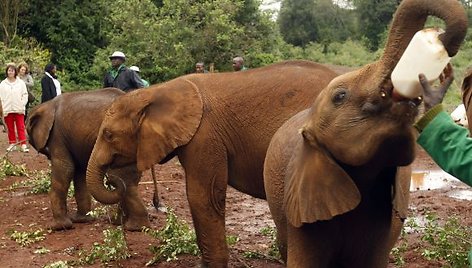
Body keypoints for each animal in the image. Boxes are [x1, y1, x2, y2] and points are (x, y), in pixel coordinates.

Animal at [25, 88, 149, 230]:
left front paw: (57, 227)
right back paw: (120, 222)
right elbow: (80, 172)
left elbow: (65, 170)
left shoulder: (57, 136)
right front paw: (82, 220)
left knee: (121, 176)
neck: (47, 105)